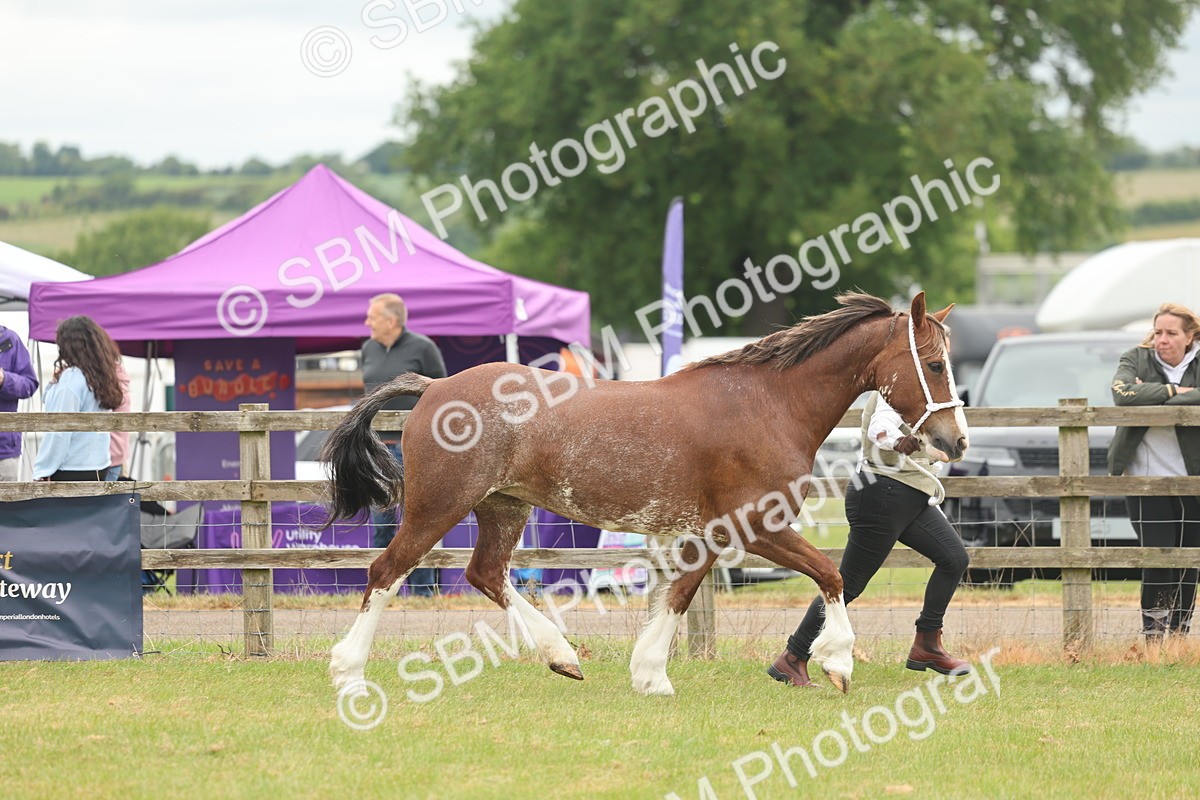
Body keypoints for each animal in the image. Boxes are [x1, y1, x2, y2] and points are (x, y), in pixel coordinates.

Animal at [321, 291, 967, 696]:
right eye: (935, 364)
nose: (953, 440)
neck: (768, 405)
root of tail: (433, 387)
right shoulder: (759, 526)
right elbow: (830, 576)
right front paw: (838, 663)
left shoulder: (712, 533)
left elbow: (678, 596)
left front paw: (651, 675)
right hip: (438, 506)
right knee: (386, 572)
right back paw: (349, 672)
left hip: (503, 505)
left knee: (485, 573)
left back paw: (561, 656)